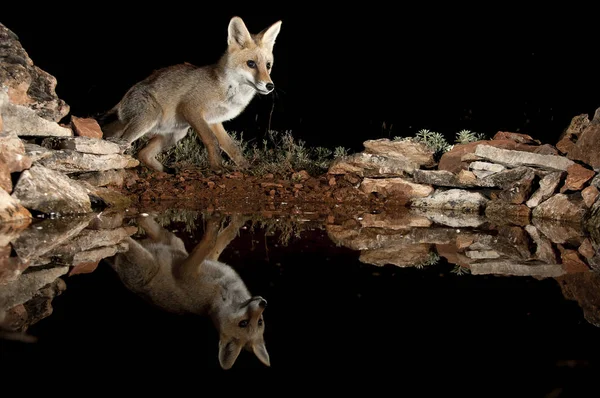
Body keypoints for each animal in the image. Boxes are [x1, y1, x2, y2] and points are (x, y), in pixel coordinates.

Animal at [100, 16, 282, 173]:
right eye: (251, 64)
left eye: (268, 65)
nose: (270, 86)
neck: (226, 89)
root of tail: (122, 101)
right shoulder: (191, 108)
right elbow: (212, 141)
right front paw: (217, 168)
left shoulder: (214, 121)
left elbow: (231, 147)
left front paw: (245, 166)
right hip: (150, 116)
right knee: (122, 144)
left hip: (175, 134)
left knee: (143, 154)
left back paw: (165, 171)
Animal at [106, 215, 268, 370]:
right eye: (247, 323)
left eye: (252, 322)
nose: (263, 303)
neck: (219, 296)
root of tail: (117, 268)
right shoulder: (206, 260)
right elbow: (224, 236)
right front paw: (236, 219)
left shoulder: (185, 269)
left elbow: (211, 240)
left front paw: (218, 221)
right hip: (171, 241)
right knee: (150, 226)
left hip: (148, 262)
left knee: (126, 240)